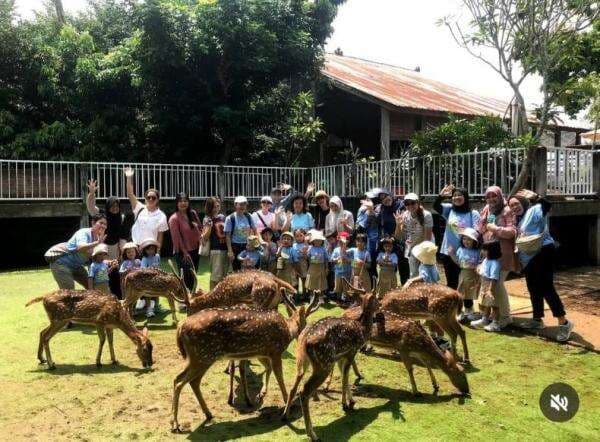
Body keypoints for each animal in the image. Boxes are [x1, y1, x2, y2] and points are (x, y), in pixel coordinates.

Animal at [170, 292, 318, 434]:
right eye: (306, 322)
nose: (304, 336)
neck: (287, 330)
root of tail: (180, 327)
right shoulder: (275, 350)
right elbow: (280, 377)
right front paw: (287, 403)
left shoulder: (261, 352)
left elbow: (268, 368)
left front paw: (260, 395)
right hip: (202, 355)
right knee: (180, 381)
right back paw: (175, 424)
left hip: (201, 357)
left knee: (189, 381)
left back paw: (208, 414)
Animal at [284, 282, 378, 442]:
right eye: (377, 298)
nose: (381, 305)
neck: (362, 329)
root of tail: (304, 339)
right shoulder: (351, 351)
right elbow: (345, 376)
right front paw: (346, 404)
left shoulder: (340, 356)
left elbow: (344, 375)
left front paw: (350, 400)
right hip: (324, 362)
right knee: (304, 391)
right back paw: (312, 434)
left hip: (303, 361)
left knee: (295, 384)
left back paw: (286, 415)